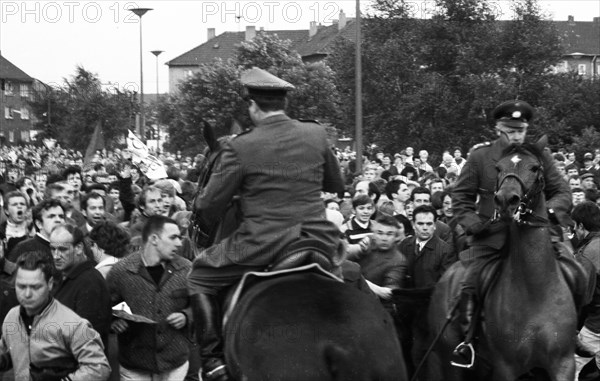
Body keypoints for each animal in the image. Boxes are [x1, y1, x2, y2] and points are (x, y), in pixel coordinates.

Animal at [426, 137, 584, 380]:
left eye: (535, 167)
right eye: (498, 168)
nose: (506, 200)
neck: (535, 288)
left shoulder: (562, 364)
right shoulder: (505, 367)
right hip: (446, 360)